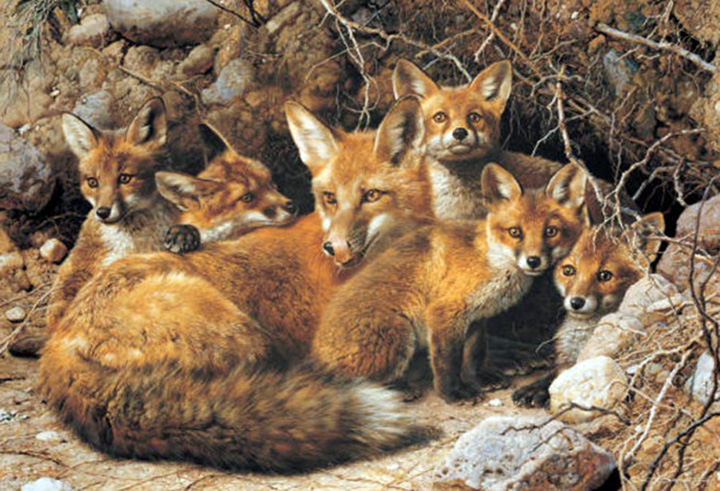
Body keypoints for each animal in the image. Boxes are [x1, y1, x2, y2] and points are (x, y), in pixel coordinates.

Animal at [37, 97, 434, 471]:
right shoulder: (338, 343)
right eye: (330, 198)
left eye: (372, 195)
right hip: (244, 335)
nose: (336, 247)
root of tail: (57, 344)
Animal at [312, 162, 588, 402]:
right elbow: (448, 361)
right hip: (400, 335)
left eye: (550, 231)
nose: (533, 261)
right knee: (354, 383)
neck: (488, 262)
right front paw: (453, 393)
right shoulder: (444, 312)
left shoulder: (476, 318)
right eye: (515, 232)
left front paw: (480, 379)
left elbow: (474, 354)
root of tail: (313, 351)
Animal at [512, 211, 665, 407]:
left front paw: (541, 392)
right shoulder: (567, 359)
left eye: (605, 275)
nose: (576, 302)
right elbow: (555, 373)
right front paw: (534, 387)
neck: (583, 336)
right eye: (569, 270)